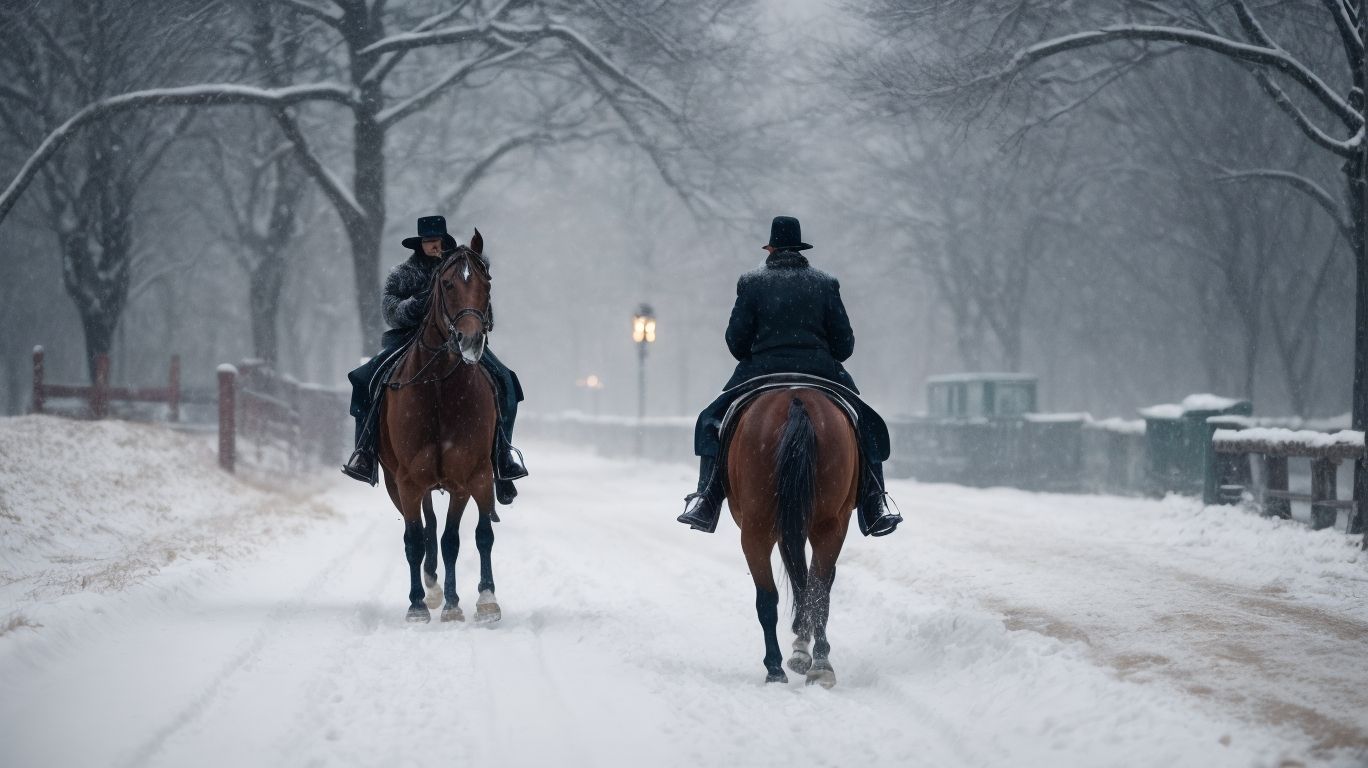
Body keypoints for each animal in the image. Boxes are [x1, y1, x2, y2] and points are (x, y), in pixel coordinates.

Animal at [727, 388, 859, 686]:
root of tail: (796, 398)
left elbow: (801, 581)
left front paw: (801, 642)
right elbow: (808, 582)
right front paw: (803, 643)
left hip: (758, 530)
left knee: (770, 598)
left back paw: (777, 667)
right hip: (827, 524)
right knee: (817, 590)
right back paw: (820, 664)